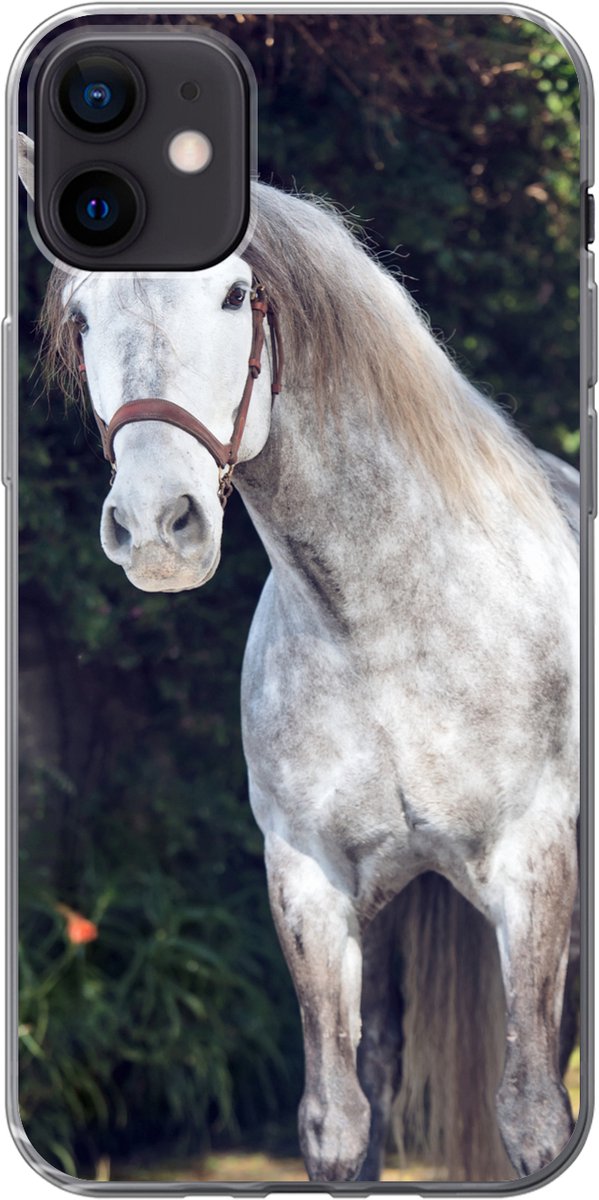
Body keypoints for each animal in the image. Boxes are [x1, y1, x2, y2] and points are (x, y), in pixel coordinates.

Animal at [19, 132, 580, 1184]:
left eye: (235, 295)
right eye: (81, 314)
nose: (156, 527)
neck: (385, 625)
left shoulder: (534, 868)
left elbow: (534, 1116)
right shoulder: (310, 883)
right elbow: (337, 1122)